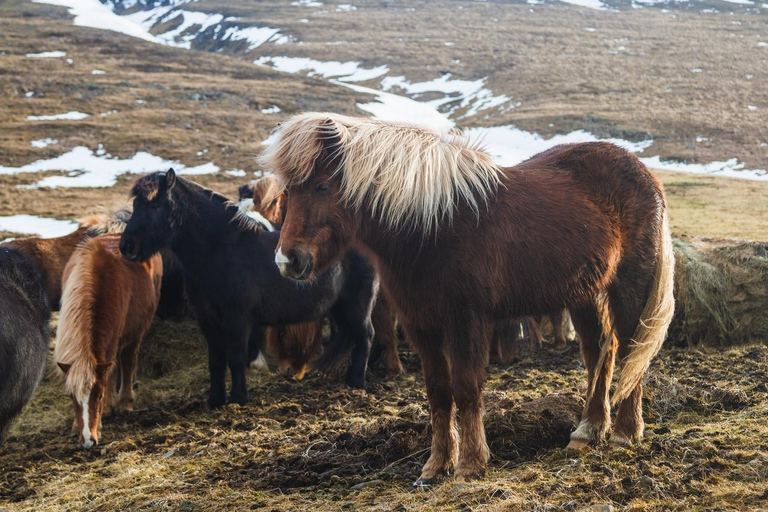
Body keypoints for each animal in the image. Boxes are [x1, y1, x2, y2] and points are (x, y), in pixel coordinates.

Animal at [55, 235, 162, 449]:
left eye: (99, 396)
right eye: (72, 397)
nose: (88, 441)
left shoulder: (113, 341)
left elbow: (111, 373)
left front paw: (105, 410)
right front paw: (75, 426)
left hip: (135, 332)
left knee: (128, 362)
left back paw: (124, 403)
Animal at [118, 170, 378, 408]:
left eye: (155, 205)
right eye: (136, 204)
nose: (126, 246)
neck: (219, 250)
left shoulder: (237, 318)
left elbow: (235, 358)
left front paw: (238, 398)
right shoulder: (207, 320)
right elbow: (215, 361)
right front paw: (215, 400)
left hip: (358, 305)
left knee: (365, 337)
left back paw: (355, 382)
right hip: (339, 308)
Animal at [261, 113, 675, 484]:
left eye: (322, 187)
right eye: (287, 192)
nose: (287, 261)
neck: (431, 225)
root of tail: (645, 174)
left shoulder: (466, 320)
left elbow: (466, 387)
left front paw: (471, 463)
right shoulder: (420, 324)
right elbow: (438, 392)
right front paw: (436, 465)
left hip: (628, 284)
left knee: (630, 349)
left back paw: (624, 433)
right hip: (584, 293)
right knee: (599, 352)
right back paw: (588, 431)